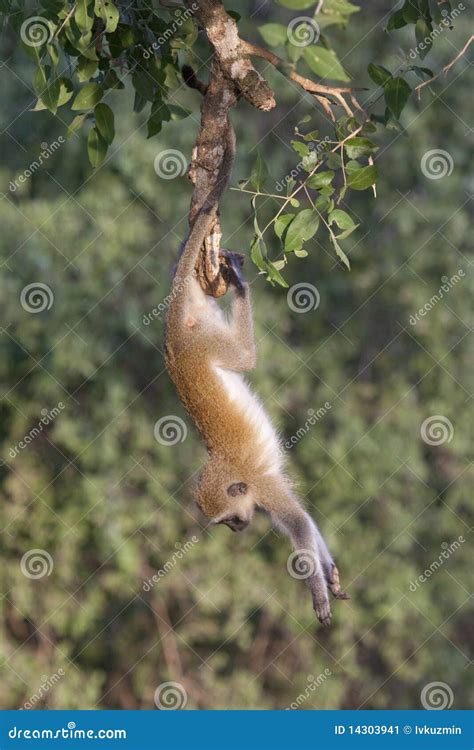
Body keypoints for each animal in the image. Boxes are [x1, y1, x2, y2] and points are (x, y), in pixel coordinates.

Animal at [164, 125, 348, 628]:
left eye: (228, 519)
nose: (237, 529)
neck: (237, 476)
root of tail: (172, 341)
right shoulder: (266, 493)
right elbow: (305, 523)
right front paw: (327, 573)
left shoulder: (263, 487)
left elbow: (299, 525)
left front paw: (316, 590)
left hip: (202, 342)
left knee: (243, 356)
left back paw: (242, 288)